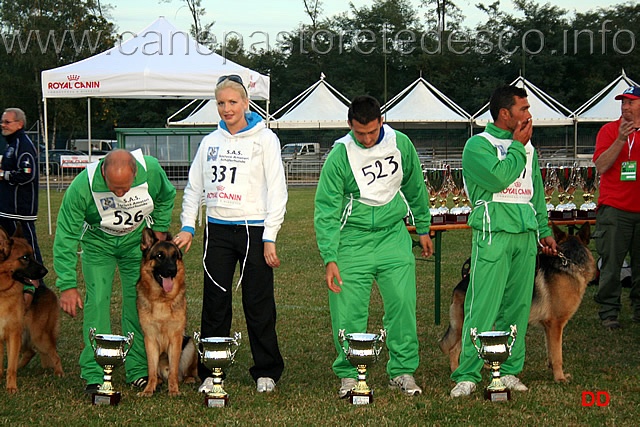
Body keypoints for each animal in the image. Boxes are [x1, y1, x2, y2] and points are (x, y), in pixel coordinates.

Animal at [0, 224, 63, 394]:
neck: (2, 290)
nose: (45, 271)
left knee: (54, 353)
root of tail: (48, 290)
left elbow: (11, 367)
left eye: (33, 255)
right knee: (29, 352)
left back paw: (59, 372)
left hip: (38, 336)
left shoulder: (12, 334)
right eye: (25, 258)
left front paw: (11, 387)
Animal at [138, 229, 199, 396]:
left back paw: (188, 379)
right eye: (159, 256)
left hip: (190, 345)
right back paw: (158, 382)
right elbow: (151, 370)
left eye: (174, 256)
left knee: (185, 373)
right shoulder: (150, 339)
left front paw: (173, 391)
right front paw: (148, 390)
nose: (172, 270)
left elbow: (173, 370)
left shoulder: (175, 338)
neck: (161, 300)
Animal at [440, 222, 596, 382]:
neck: (569, 263)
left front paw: (553, 369)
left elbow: (551, 352)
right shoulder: (555, 324)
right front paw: (560, 377)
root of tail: (460, 285)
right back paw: (457, 373)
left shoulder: (548, 327)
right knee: (454, 350)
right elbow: (557, 354)